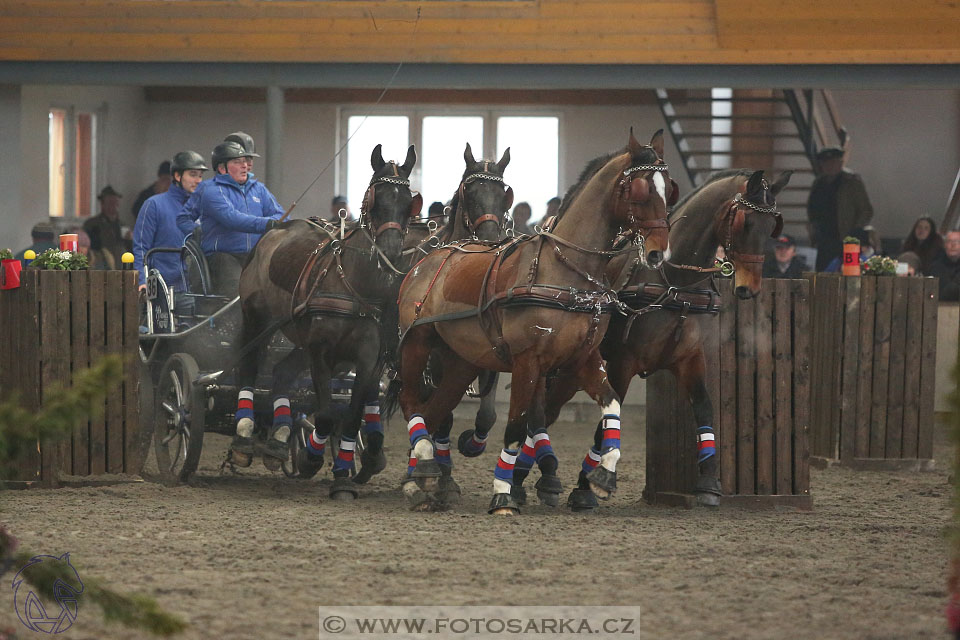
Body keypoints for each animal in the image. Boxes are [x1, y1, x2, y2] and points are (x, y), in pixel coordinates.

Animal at [234, 145, 418, 500]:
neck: (353, 284)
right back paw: (244, 436)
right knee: (248, 368)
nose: (389, 252)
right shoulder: (321, 352)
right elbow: (325, 417)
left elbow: (350, 418)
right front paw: (310, 459)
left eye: (408, 202)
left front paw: (343, 476)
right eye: (375, 199)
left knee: (281, 372)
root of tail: (275, 229)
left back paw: (278, 440)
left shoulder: (367, 358)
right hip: (255, 318)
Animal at [394, 130, 672, 516]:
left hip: (462, 362)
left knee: (434, 411)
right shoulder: (528, 360)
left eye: (668, 188)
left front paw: (602, 477)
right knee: (410, 401)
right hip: (418, 342)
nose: (660, 252)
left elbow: (612, 406)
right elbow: (516, 427)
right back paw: (422, 464)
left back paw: (420, 478)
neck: (566, 275)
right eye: (642, 190)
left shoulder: (584, 358)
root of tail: (428, 259)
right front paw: (503, 494)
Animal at [512, 169, 792, 510]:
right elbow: (605, 423)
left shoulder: (690, 358)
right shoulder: (623, 363)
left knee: (546, 411)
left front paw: (709, 484)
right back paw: (526, 479)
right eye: (745, 223)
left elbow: (704, 408)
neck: (674, 283)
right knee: (543, 411)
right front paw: (588, 486)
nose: (749, 288)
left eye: (771, 227)